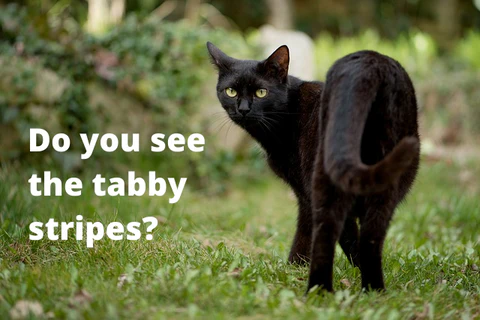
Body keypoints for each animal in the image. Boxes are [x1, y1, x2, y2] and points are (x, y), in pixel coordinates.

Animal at [206, 42, 420, 292]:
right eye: (231, 91)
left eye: (261, 92)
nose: (243, 109)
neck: (288, 115)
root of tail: (370, 63)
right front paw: (296, 268)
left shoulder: (304, 190)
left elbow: (305, 231)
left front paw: (292, 268)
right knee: (371, 236)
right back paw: (374, 289)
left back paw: (319, 290)